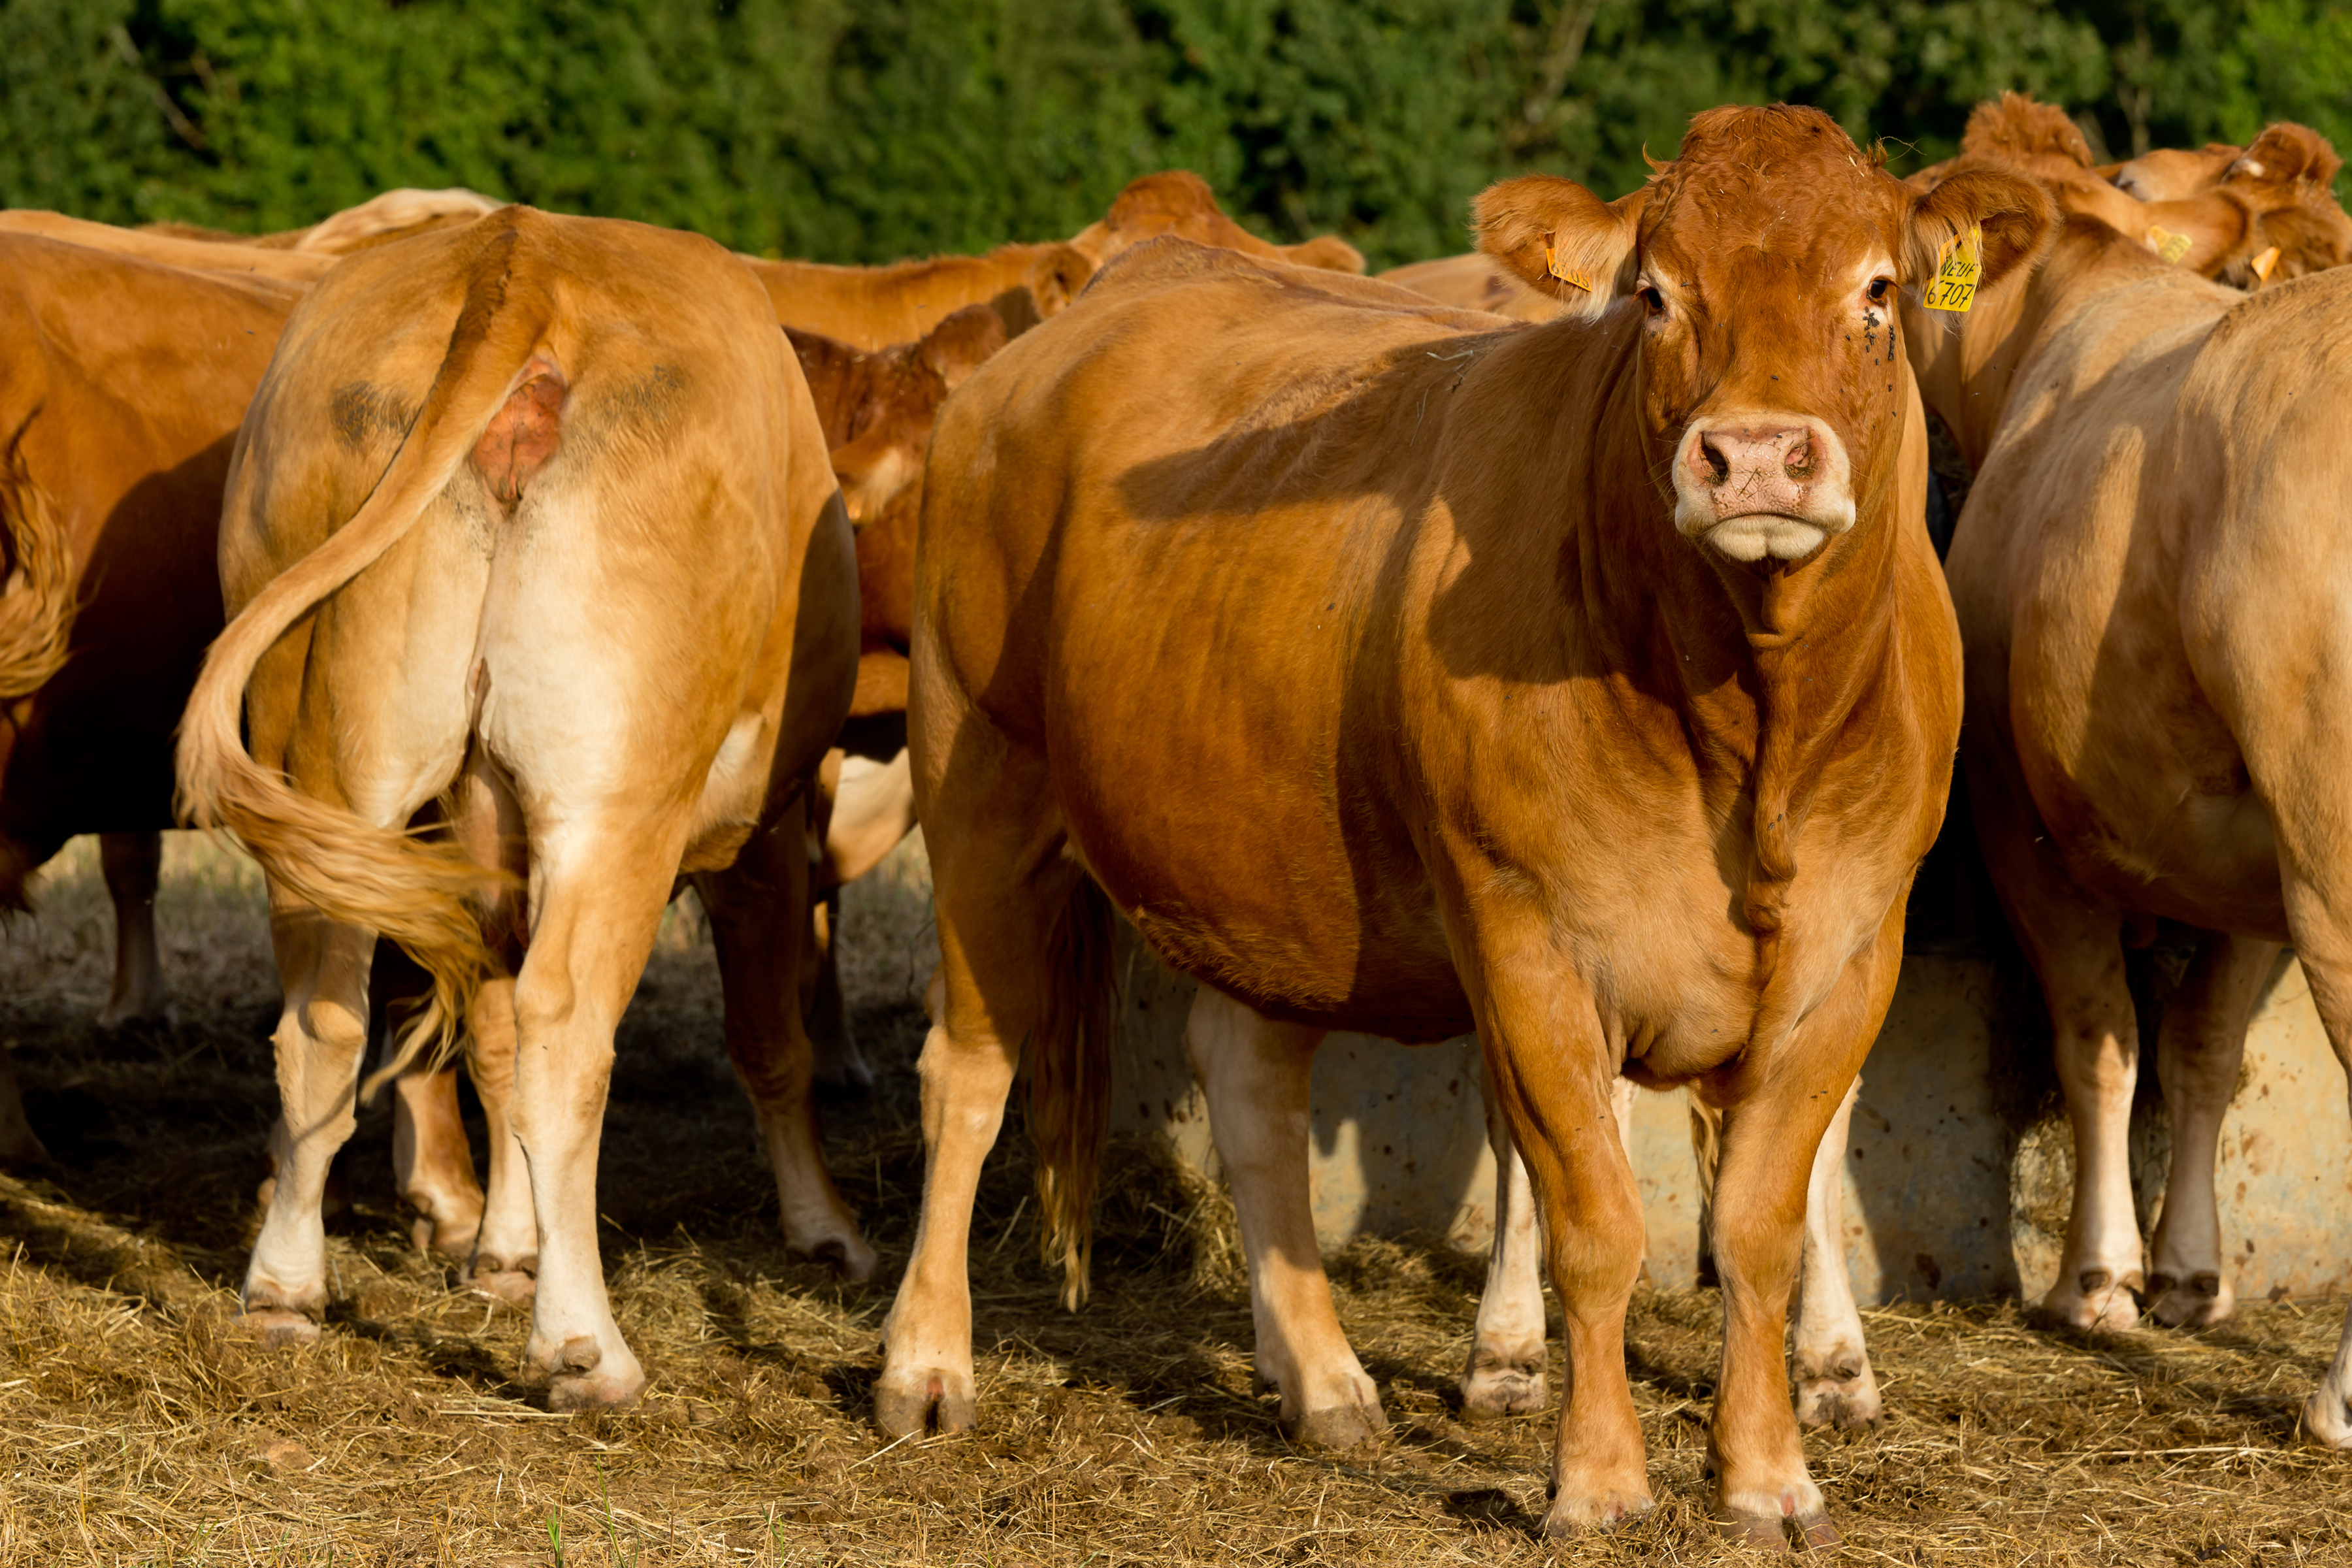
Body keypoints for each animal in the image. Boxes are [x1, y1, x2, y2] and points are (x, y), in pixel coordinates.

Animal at [174, 206, 867, 1406]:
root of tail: (521, 253)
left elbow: (484, 1040)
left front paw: (503, 1251)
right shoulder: (766, 837)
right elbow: (769, 1037)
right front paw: (822, 1228)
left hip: (332, 777)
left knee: (325, 1019)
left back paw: (284, 1293)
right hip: (614, 800)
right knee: (563, 1034)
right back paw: (585, 1348)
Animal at [883, 105, 2052, 1543]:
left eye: (1878, 292)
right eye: (1656, 296)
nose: (1755, 458)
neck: (1749, 732)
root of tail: (1107, 296)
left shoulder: (1851, 954)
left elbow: (1763, 1224)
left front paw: (1770, 1476)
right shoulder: (1524, 930)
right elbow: (1596, 1221)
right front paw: (1598, 1480)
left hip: (1260, 857)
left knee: (1251, 1087)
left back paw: (1323, 1383)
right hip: (976, 772)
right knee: (969, 1071)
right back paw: (925, 1366)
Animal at [1891, 113, 2352, 1438]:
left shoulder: (2019, 816)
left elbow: (2096, 1036)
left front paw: (2094, 1280)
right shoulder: (2249, 860)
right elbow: (2201, 1050)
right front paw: (2191, 1277)